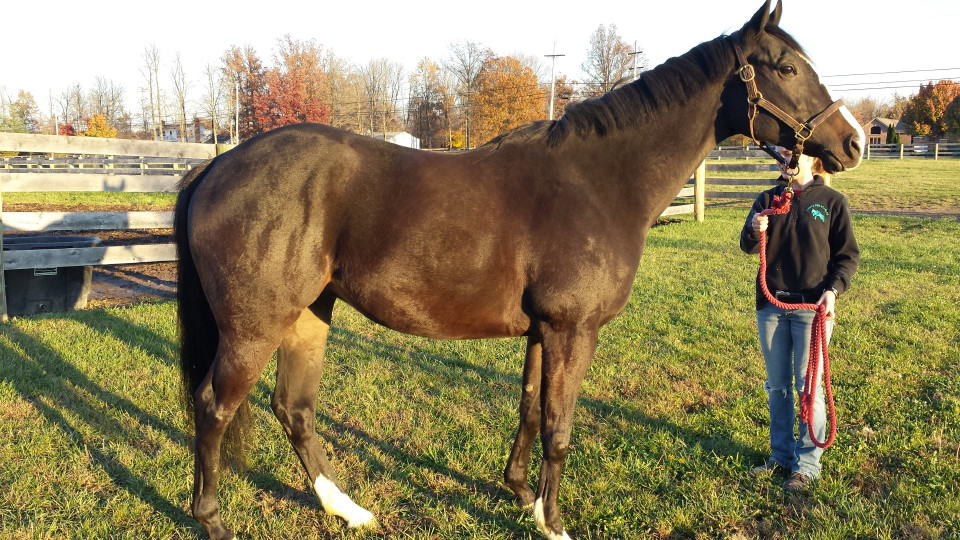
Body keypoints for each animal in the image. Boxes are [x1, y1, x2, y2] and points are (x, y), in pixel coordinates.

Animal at [174, 1, 864, 538]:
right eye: (785, 67)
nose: (853, 141)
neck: (599, 182)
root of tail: (216, 167)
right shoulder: (571, 331)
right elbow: (559, 427)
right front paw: (554, 524)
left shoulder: (542, 331)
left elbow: (531, 410)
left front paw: (523, 497)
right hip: (255, 326)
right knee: (213, 406)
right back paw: (212, 520)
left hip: (309, 314)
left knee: (293, 408)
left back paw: (348, 511)